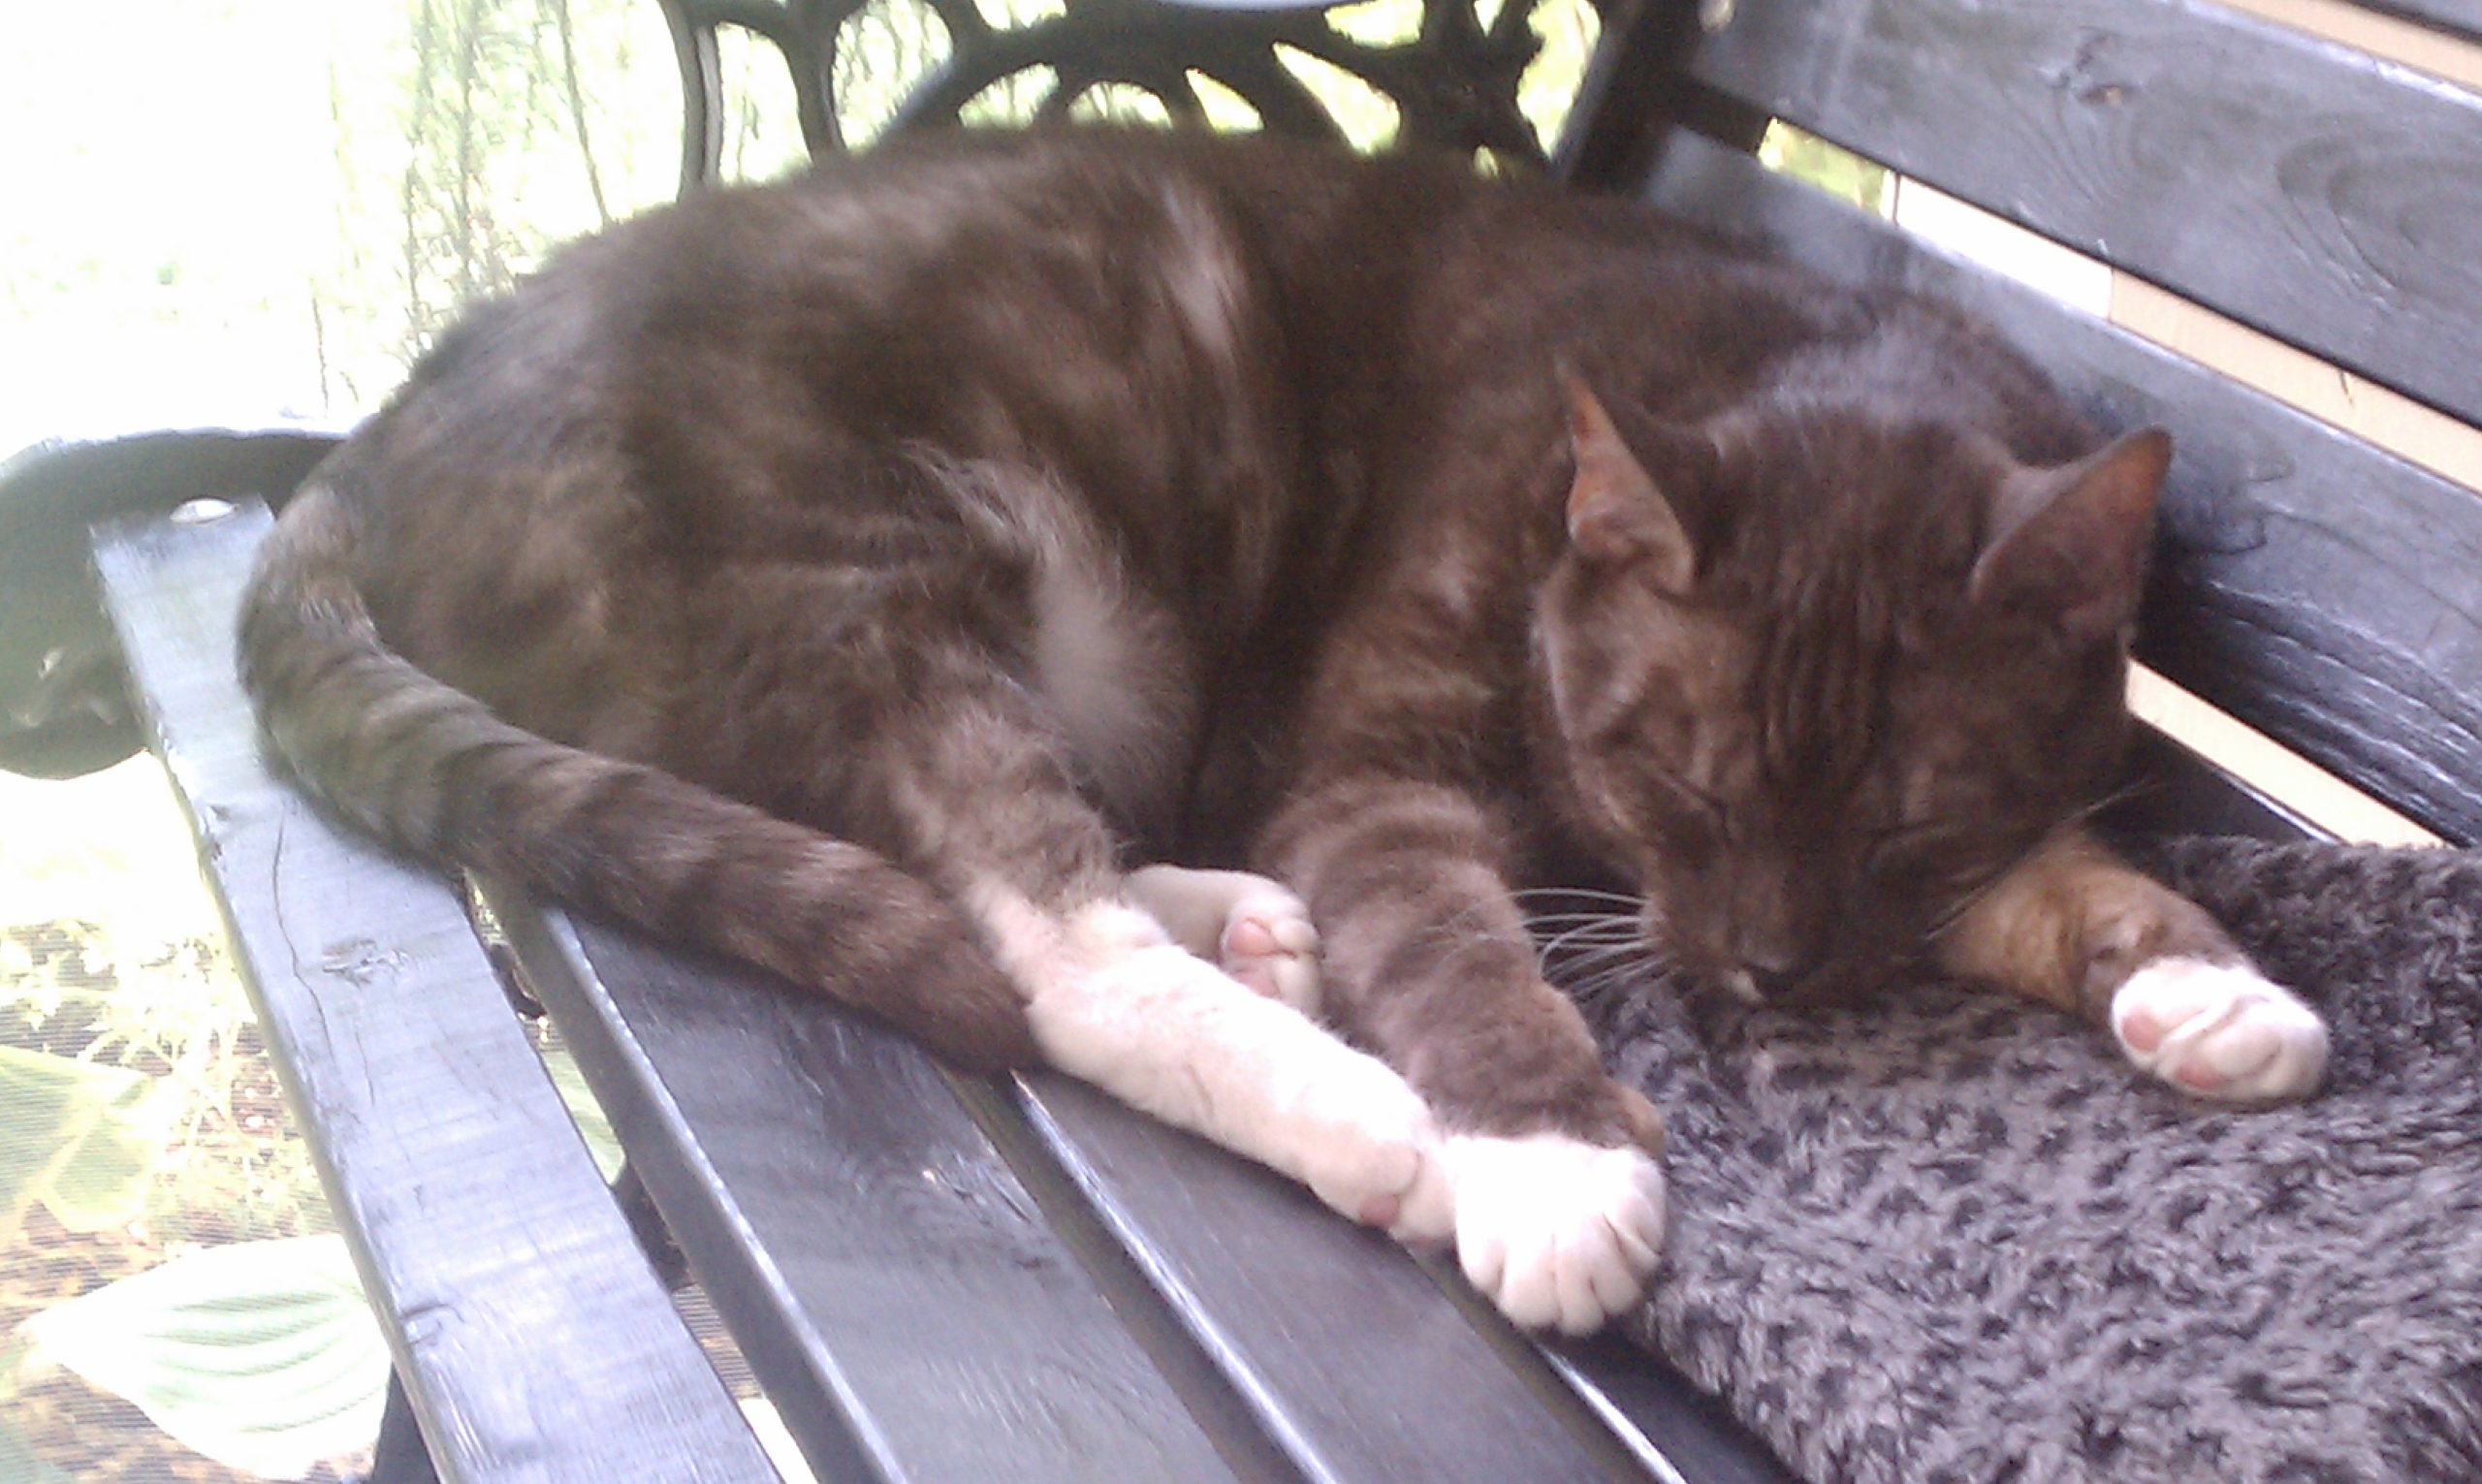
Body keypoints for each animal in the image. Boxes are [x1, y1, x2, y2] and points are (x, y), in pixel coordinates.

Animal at [233, 127, 2323, 1340]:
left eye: (1899, 825)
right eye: (1674, 778)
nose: (1769, 972)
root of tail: (371, 442)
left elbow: (2052, 865)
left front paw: (2207, 980)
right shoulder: (1375, 770)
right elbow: (1454, 946)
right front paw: (1552, 1157)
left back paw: (1230, 917)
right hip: (860, 572)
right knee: (1038, 940)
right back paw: (1357, 1112)